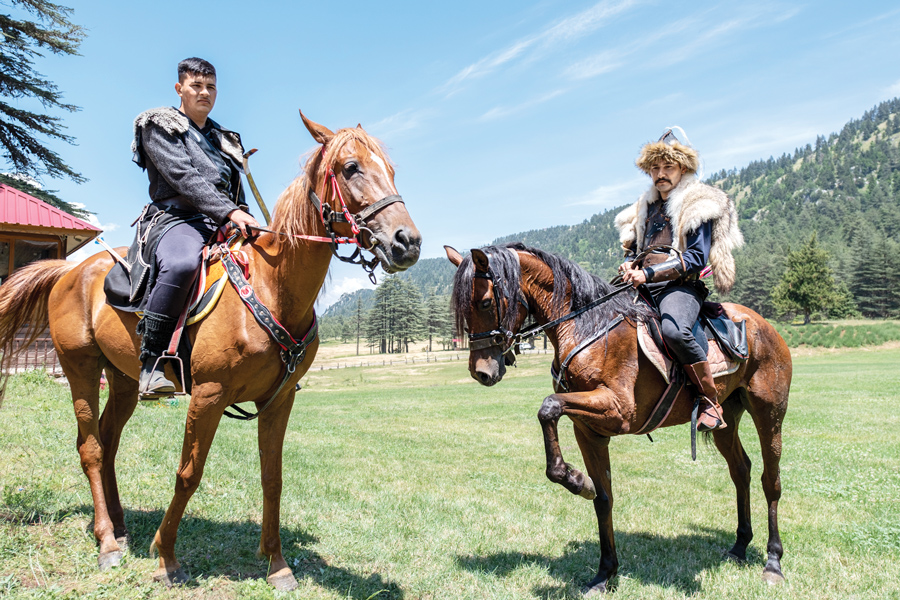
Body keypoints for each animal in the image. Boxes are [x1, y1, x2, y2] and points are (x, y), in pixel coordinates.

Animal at [0, 112, 422, 592]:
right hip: (81, 368)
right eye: (351, 168)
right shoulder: (208, 395)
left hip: (123, 381)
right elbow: (188, 474)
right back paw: (107, 542)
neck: (272, 288)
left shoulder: (279, 400)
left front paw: (277, 563)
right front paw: (166, 557)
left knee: (108, 443)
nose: (407, 242)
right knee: (90, 447)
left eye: (391, 170)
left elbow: (272, 478)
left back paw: (119, 527)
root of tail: (69, 271)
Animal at [446, 243, 792, 596]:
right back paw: (739, 546)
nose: (481, 372)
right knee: (741, 470)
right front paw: (604, 571)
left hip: (769, 412)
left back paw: (773, 562)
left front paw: (575, 480)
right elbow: (602, 497)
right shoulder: (588, 430)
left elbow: (548, 407)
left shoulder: (617, 411)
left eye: (485, 302)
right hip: (725, 420)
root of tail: (762, 325)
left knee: (770, 480)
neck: (586, 327)